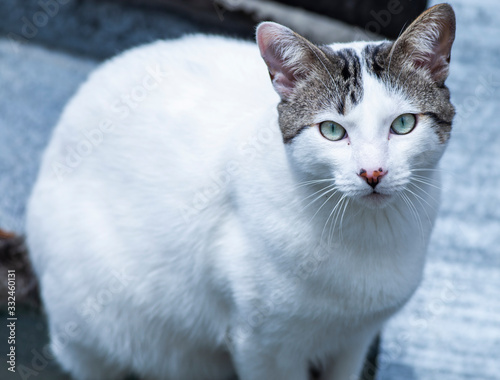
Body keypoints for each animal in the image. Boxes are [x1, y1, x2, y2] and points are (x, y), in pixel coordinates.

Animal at [25, 2, 456, 380]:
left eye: (403, 124)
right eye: (332, 130)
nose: (372, 172)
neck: (370, 233)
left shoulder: (355, 340)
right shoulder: (263, 346)